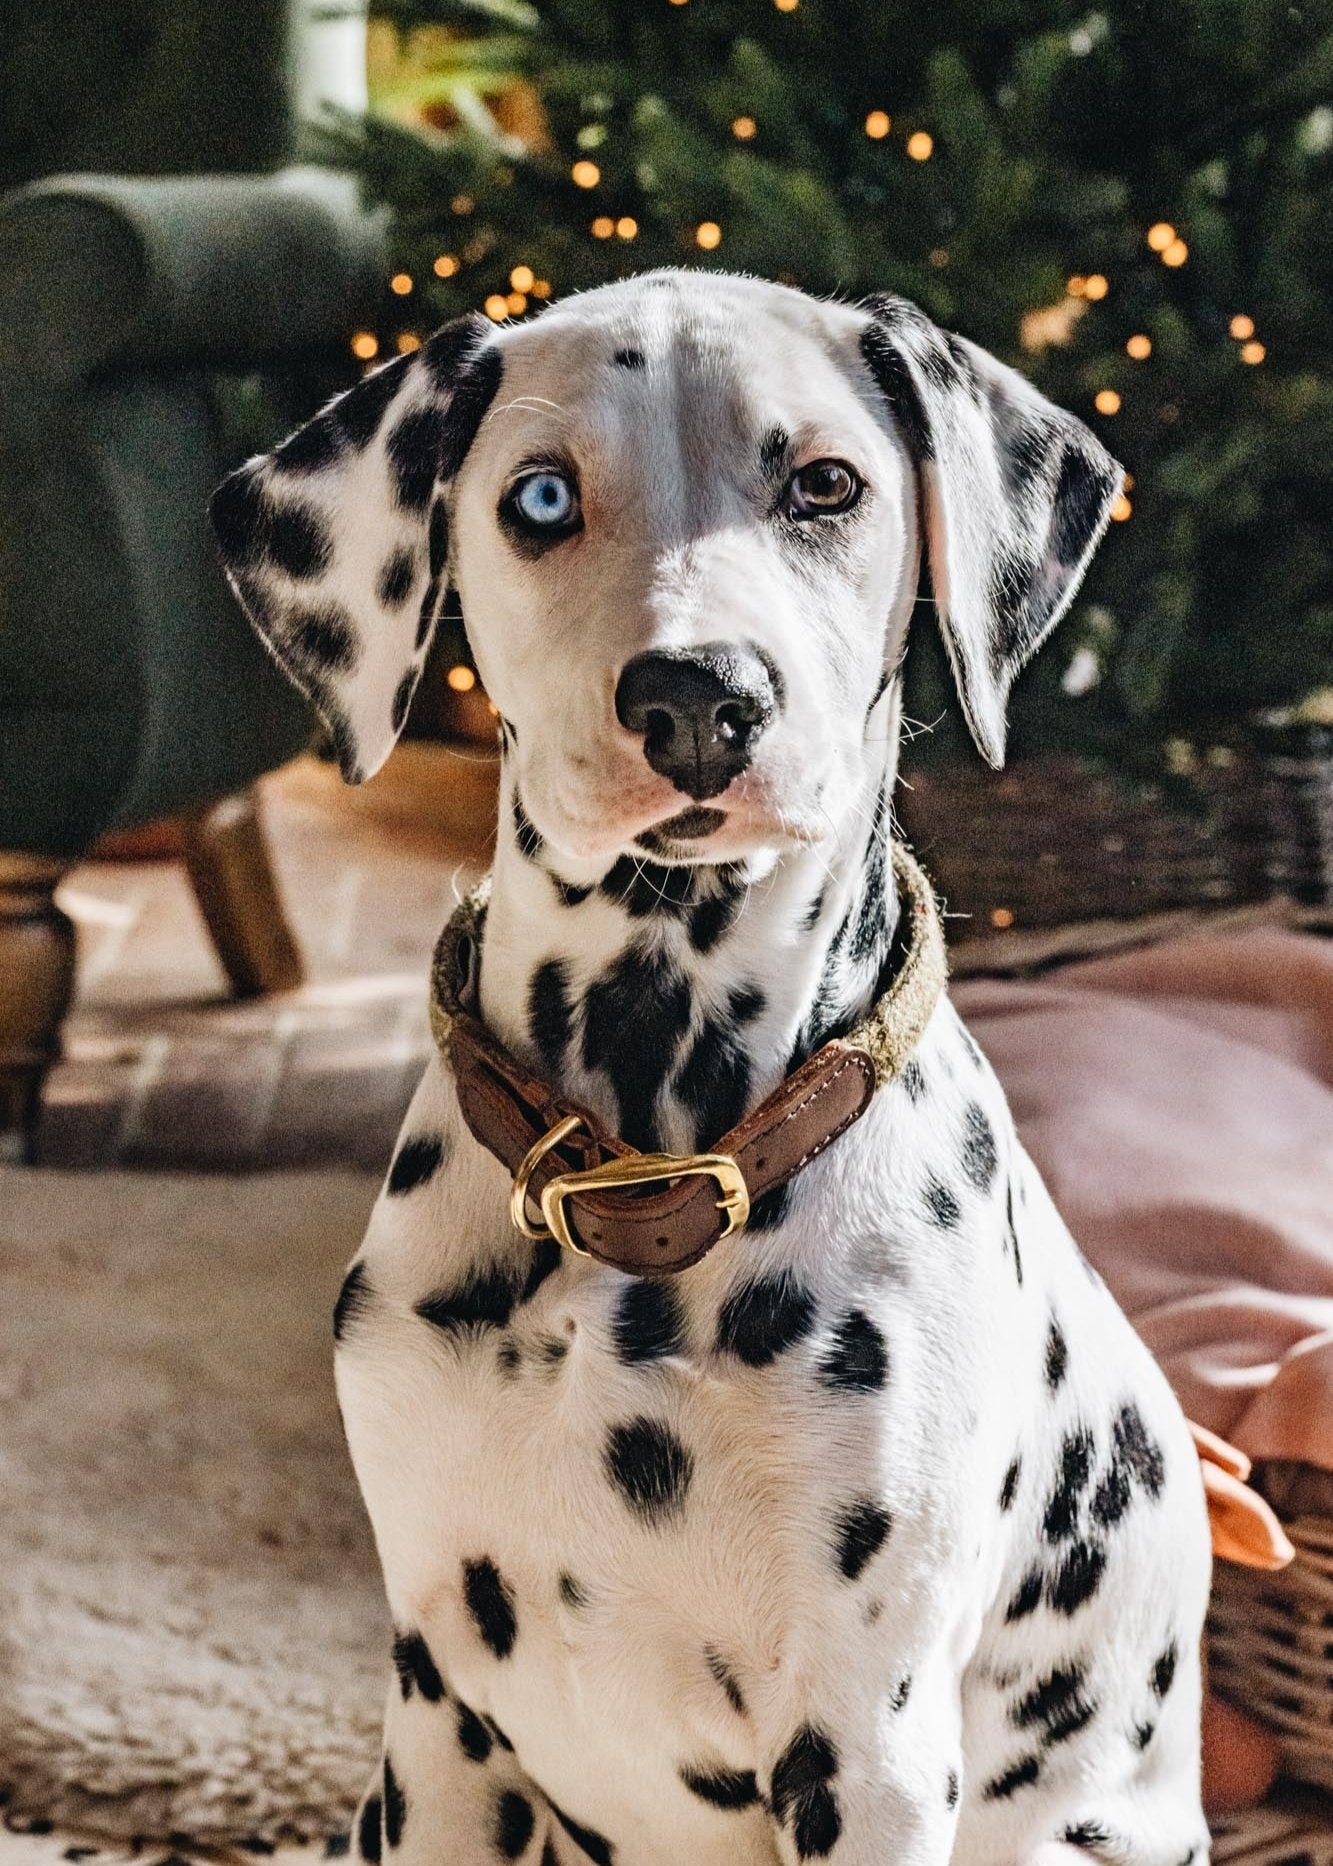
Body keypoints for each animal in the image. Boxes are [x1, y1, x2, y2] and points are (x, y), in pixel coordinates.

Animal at [210, 266, 1217, 1866]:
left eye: (826, 484)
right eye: (542, 496)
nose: (696, 697)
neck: (649, 1161)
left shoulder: (866, 1742)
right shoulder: (439, 1715)